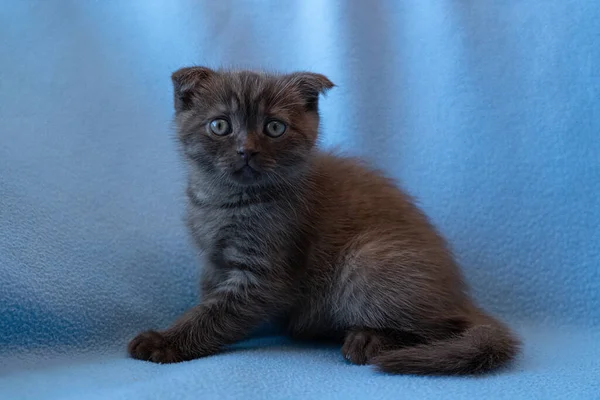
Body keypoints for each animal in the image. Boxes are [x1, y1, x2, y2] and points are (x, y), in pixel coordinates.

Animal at [127, 66, 520, 376]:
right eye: (220, 125)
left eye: (274, 127)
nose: (247, 150)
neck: (225, 202)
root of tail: (459, 296)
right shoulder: (213, 262)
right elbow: (210, 301)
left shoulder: (264, 274)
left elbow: (215, 314)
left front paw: (164, 341)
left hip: (367, 260)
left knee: (439, 328)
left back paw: (368, 339)